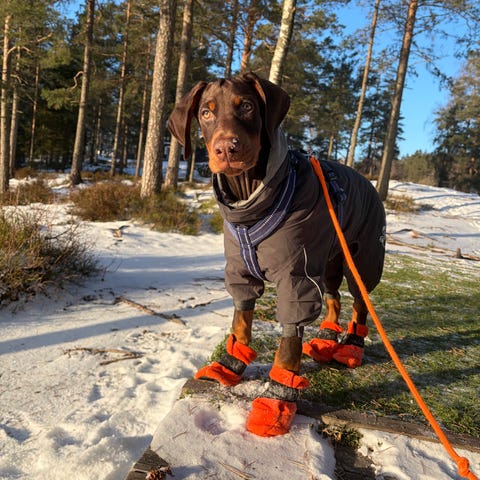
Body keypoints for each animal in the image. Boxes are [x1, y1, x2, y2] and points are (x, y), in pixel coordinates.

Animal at [168, 72, 386, 437]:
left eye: (247, 106)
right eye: (206, 113)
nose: (226, 148)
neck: (249, 203)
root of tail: (368, 180)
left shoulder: (294, 278)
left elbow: (289, 342)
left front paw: (276, 401)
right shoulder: (239, 269)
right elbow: (241, 317)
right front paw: (230, 364)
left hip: (361, 257)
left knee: (359, 303)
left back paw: (350, 347)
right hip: (328, 259)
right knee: (333, 296)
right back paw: (326, 339)